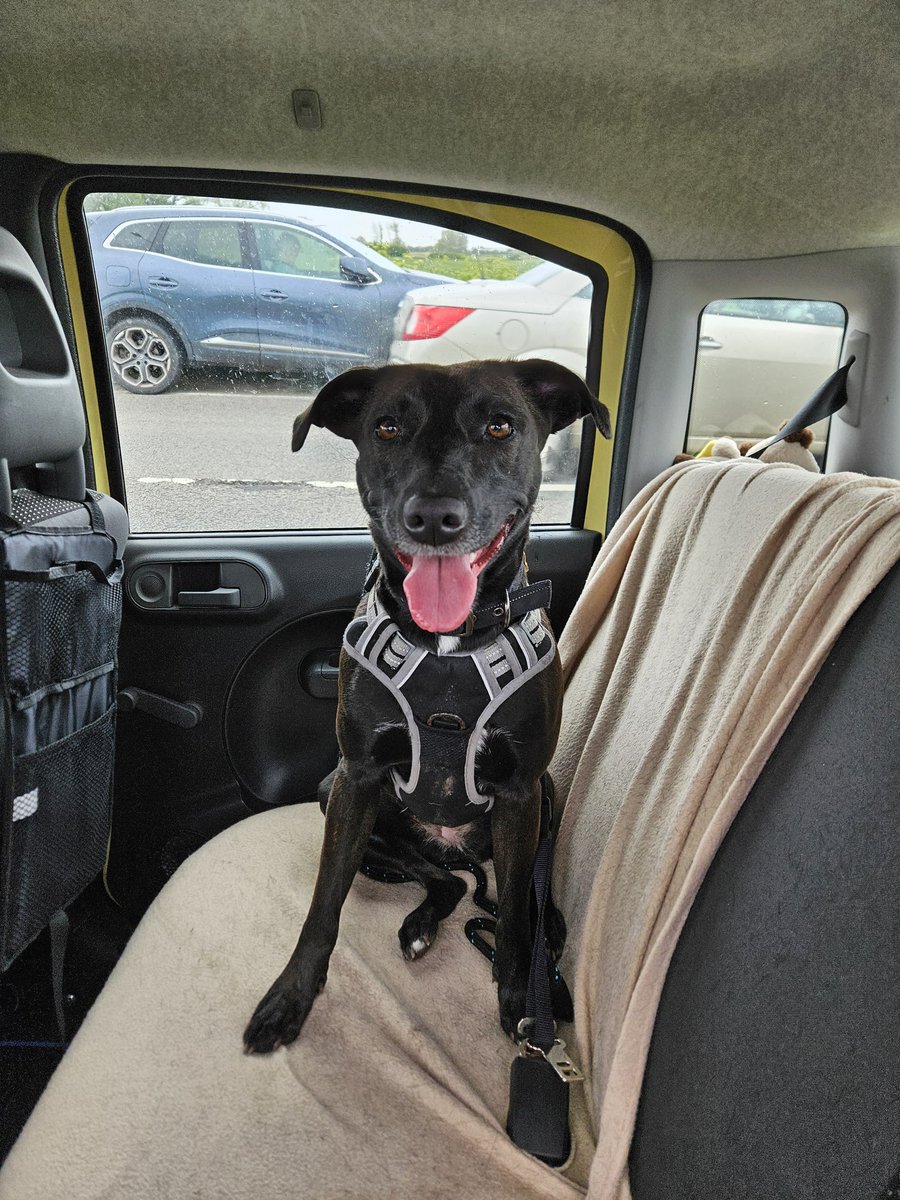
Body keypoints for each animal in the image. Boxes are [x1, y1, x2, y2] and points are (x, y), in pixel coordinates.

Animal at [244, 357, 614, 1051]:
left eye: (501, 426)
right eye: (387, 427)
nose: (435, 517)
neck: (447, 644)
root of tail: (459, 850)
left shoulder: (520, 792)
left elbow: (517, 918)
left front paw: (520, 998)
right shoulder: (355, 779)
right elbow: (323, 904)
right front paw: (290, 998)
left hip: (546, 799)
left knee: (529, 895)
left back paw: (546, 952)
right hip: (341, 798)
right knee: (443, 882)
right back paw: (421, 923)